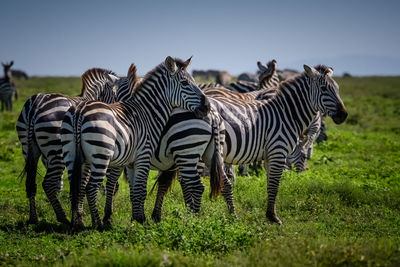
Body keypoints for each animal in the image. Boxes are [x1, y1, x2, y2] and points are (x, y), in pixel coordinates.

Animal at [16, 67, 122, 226]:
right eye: (116, 93)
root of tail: (36, 103)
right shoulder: (85, 158)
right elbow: (82, 185)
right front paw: (81, 217)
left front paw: (79, 216)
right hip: (56, 150)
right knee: (47, 184)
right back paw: (62, 218)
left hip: (27, 149)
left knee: (31, 184)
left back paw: (33, 218)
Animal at [61, 57, 211, 230]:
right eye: (185, 83)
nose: (207, 107)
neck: (147, 112)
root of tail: (79, 110)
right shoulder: (141, 157)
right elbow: (139, 190)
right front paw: (139, 219)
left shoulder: (130, 162)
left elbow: (133, 191)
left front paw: (135, 218)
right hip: (101, 156)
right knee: (90, 188)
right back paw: (98, 225)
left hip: (72, 155)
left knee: (76, 186)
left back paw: (77, 223)